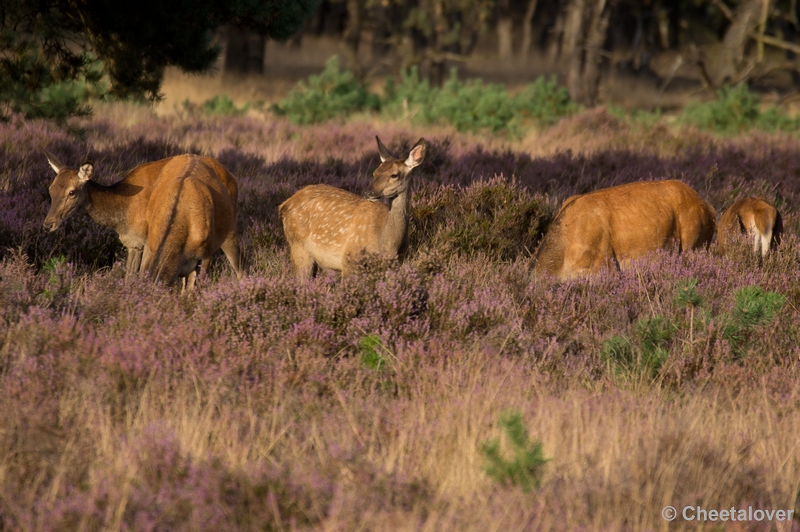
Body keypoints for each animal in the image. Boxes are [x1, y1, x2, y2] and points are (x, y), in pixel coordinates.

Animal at [42, 149, 239, 276]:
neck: (124, 216)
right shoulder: (132, 243)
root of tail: (231, 175)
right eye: (51, 189)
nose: (47, 224)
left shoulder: (146, 241)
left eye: (72, 192)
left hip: (229, 231)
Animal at [278, 136, 424, 278]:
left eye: (394, 175)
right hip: (298, 244)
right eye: (375, 173)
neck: (388, 244)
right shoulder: (349, 258)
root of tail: (284, 205)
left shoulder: (395, 264)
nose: (368, 192)